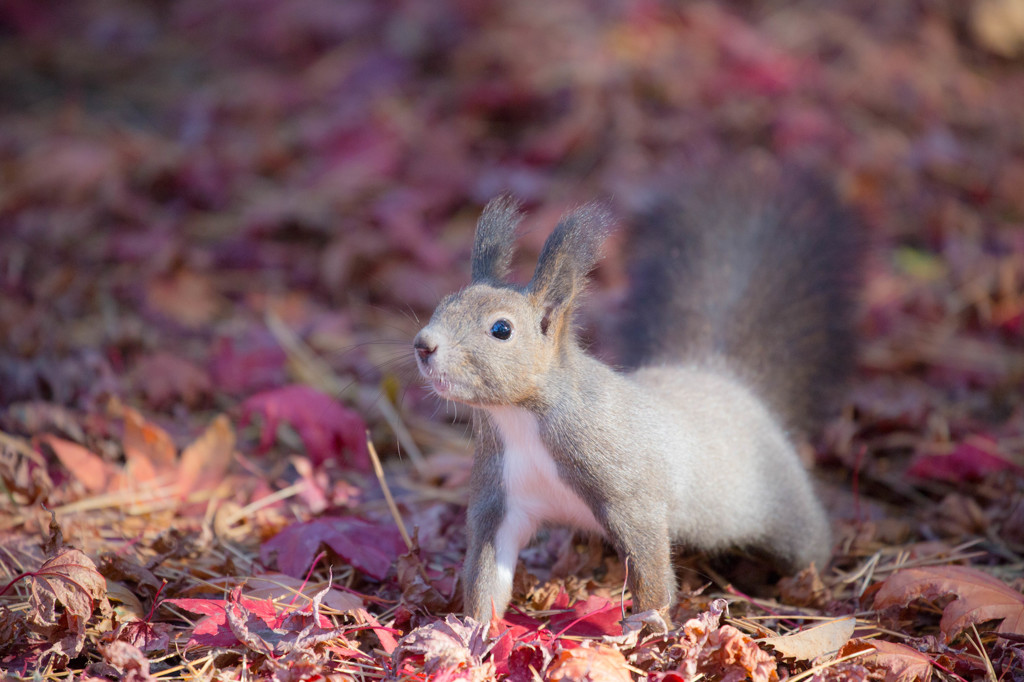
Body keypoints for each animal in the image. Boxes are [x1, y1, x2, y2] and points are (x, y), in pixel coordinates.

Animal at [411, 164, 860, 626]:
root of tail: (728, 381)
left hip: (784, 511)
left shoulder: (629, 493)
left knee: (808, 544)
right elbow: (487, 576)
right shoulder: (499, 499)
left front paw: (649, 628)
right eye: (443, 304)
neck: (519, 420)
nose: (424, 345)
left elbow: (651, 570)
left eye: (501, 329)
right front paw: (475, 631)